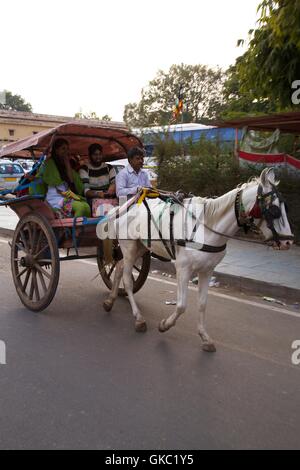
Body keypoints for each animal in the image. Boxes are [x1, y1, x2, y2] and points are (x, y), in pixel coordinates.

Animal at [101, 167, 292, 350]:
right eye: (274, 209)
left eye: (285, 208)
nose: (288, 241)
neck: (208, 227)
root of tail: (122, 206)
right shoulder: (183, 269)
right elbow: (181, 305)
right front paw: (165, 325)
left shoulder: (207, 271)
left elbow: (202, 304)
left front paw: (205, 337)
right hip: (129, 247)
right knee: (127, 280)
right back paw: (138, 318)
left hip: (139, 247)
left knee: (118, 269)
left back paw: (110, 300)